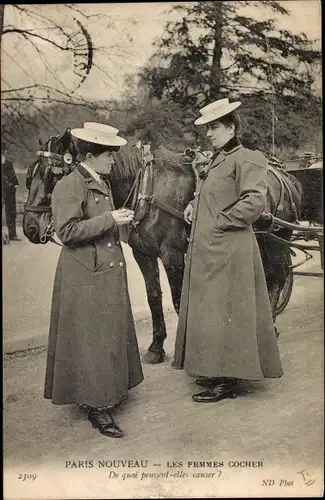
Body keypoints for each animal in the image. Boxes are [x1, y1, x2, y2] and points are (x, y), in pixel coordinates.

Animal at [23, 129, 304, 364]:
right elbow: (154, 297)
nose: (30, 228)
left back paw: (270, 324)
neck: (148, 187)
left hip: (276, 238)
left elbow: (178, 299)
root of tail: (284, 175)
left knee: (278, 276)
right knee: (267, 275)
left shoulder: (173, 255)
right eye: (28, 177)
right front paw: (156, 347)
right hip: (262, 239)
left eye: (52, 176)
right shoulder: (143, 254)